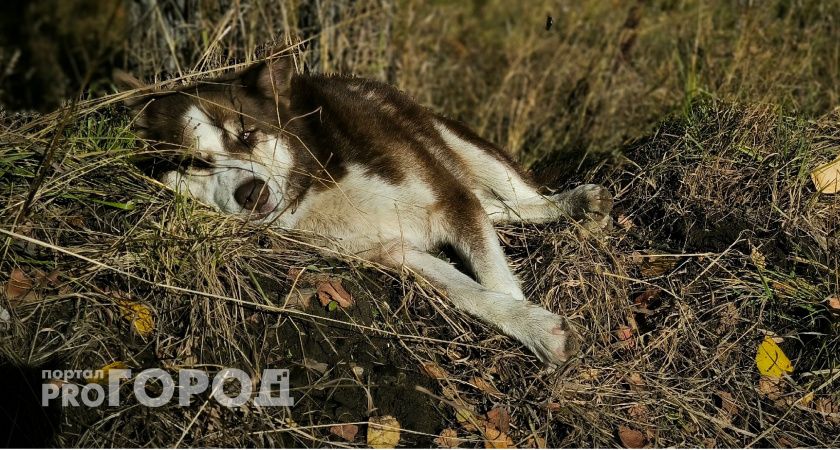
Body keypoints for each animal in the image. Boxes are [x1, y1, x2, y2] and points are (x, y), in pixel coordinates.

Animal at [116, 57, 612, 366]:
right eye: (196, 163)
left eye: (247, 133)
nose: (252, 193)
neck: (319, 184)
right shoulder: (392, 252)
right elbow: (471, 293)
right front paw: (534, 327)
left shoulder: (447, 198)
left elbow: (496, 278)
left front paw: (533, 326)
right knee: (494, 207)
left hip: (459, 146)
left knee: (517, 196)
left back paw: (577, 202)